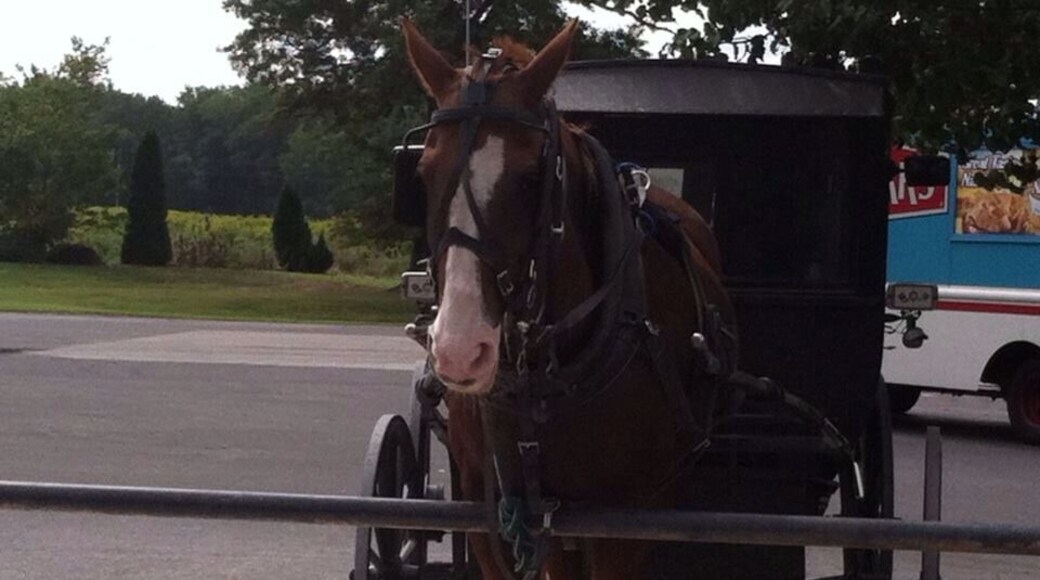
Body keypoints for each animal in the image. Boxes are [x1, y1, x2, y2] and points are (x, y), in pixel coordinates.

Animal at [401, 19, 737, 580]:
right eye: (422, 175)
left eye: (529, 178)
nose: (460, 349)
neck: (543, 378)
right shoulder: (487, 511)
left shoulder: (625, 519)